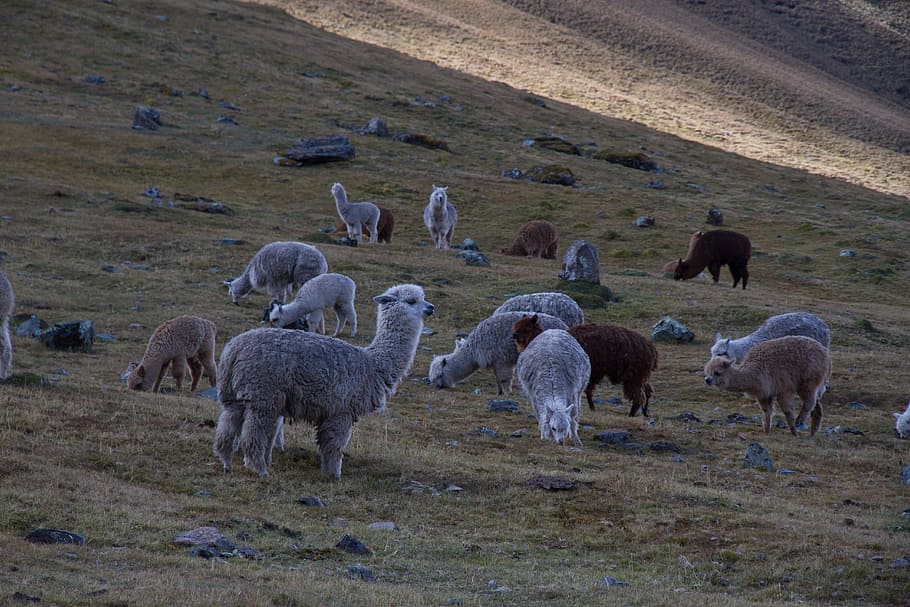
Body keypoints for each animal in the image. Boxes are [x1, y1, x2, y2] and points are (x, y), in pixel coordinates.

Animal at [214, 283, 434, 479]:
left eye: (423, 297)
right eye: (412, 300)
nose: (431, 307)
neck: (373, 364)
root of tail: (234, 350)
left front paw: (328, 471)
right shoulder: (341, 410)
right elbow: (334, 446)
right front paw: (334, 475)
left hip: (235, 394)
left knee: (226, 427)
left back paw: (226, 464)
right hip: (263, 394)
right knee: (252, 434)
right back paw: (259, 469)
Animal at [428, 311, 568, 395]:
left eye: (439, 375)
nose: (438, 386)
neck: (473, 350)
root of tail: (565, 326)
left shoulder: (502, 359)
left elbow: (504, 378)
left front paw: (506, 394)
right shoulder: (496, 361)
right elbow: (497, 378)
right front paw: (499, 393)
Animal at [512, 315, 658, 416]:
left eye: (526, 328)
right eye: (516, 326)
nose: (514, 335)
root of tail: (651, 348)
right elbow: (587, 390)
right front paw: (591, 408)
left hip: (633, 374)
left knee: (638, 395)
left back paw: (632, 414)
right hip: (640, 373)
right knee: (648, 390)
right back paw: (645, 412)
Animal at [703, 335, 831, 436]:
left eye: (717, 372)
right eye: (707, 372)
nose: (707, 380)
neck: (752, 372)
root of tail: (826, 355)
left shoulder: (783, 389)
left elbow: (788, 412)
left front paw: (794, 433)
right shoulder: (764, 394)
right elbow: (767, 412)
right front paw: (766, 431)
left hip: (808, 381)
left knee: (810, 402)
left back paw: (800, 421)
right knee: (817, 406)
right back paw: (813, 433)